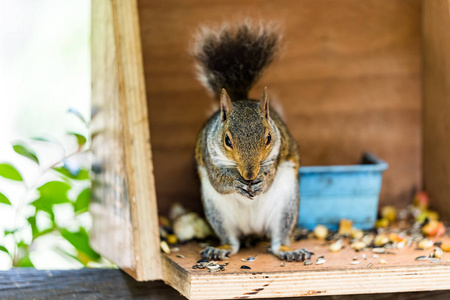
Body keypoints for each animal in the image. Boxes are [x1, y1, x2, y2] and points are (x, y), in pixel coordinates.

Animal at [192, 22, 312, 262]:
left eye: (268, 138)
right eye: (227, 140)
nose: (249, 175)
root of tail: (252, 228)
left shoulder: (277, 154)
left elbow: (270, 176)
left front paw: (262, 182)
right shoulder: (209, 158)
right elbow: (219, 181)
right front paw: (236, 183)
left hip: (285, 207)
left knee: (277, 241)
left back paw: (289, 251)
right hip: (217, 213)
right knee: (233, 242)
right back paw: (220, 248)